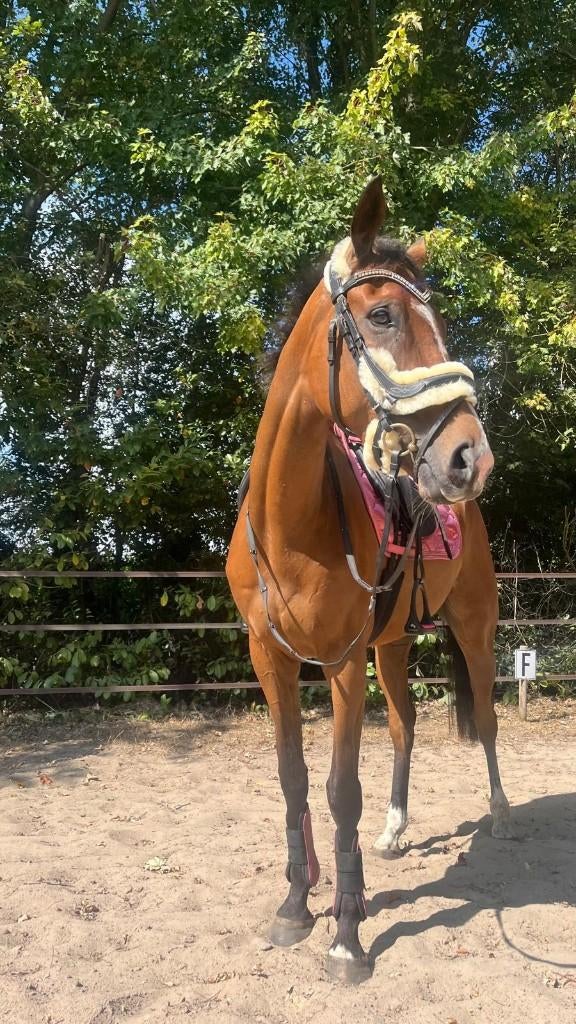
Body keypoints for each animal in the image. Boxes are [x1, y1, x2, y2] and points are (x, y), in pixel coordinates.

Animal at [226, 177, 512, 984]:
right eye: (382, 315)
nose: (471, 458)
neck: (291, 525)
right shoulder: (273, 659)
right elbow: (294, 780)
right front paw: (297, 907)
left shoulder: (342, 661)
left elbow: (338, 789)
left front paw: (348, 936)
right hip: (393, 646)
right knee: (408, 726)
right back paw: (394, 831)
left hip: (474, 630)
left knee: (486, 718)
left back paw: (501, 815)